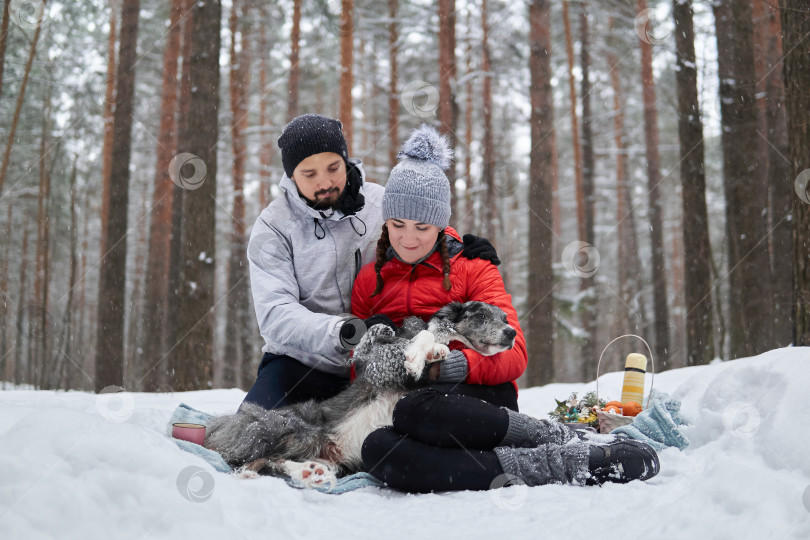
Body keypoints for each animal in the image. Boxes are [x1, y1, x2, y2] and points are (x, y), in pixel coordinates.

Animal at [205, 302, 516, 488]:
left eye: (504, 317)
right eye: (480, 315)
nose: (512, 332)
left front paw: (435, 353)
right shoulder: (384, 356)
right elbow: (424, 338)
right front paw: (418, 357)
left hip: (332, 458)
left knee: (277, 462)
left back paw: (311, 473)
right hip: (302, 432)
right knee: (259, 459)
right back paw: (260, 472)